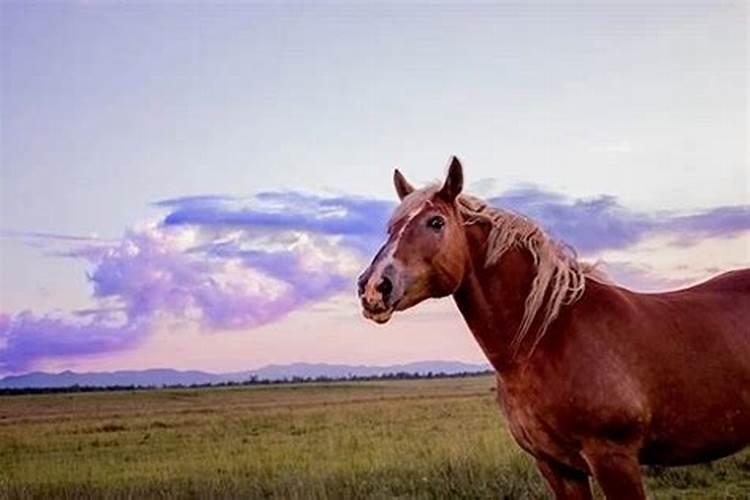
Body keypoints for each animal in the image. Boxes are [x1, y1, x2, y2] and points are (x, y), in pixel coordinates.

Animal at [358, 158, 750, 500]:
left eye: (436, 223)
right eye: (392, 229)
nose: (373, 287)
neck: (547, 338)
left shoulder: (614, 460)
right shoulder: (557, 467)